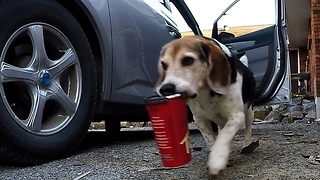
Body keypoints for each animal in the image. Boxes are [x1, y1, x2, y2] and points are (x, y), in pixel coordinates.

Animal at [154, 35, 256, 174]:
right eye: (164, 65)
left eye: (188, 60)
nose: (166, 89)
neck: (205, 91)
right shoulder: (200, 119)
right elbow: (211, 140)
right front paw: (216, 154)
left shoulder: (236, 116)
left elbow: (224, 136)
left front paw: (217, 160)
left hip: (249, 112)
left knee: (248, 128)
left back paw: (246, 144)